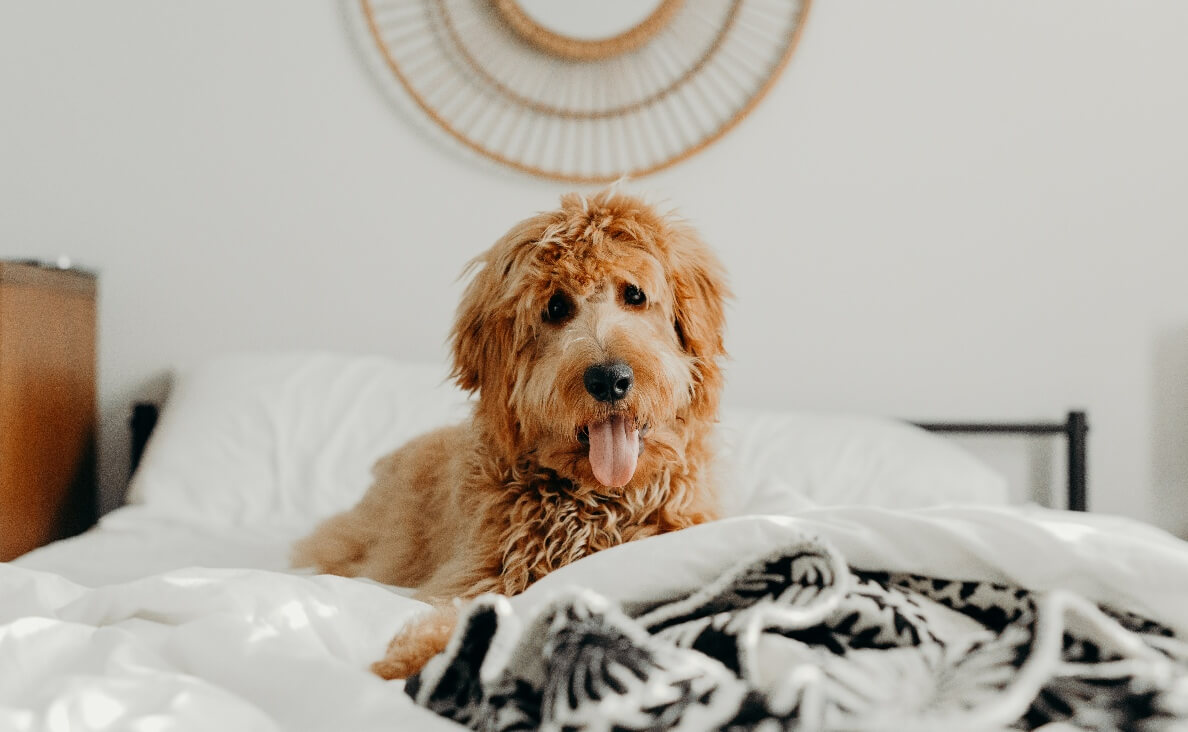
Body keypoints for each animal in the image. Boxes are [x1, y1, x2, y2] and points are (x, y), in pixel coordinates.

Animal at [292, 185, 727, 679]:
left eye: (634, 295)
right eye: (556, 307)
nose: (609, 379)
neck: (598, 502)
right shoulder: (479, 572)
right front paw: (419, 654)